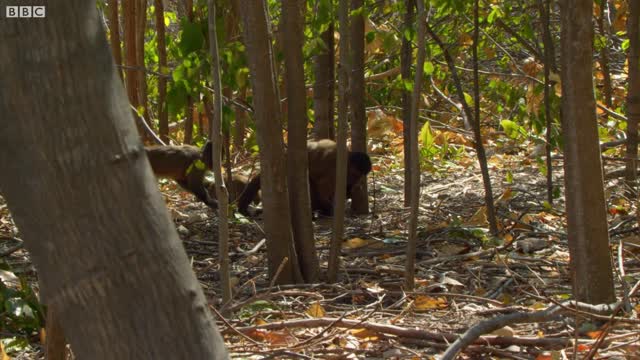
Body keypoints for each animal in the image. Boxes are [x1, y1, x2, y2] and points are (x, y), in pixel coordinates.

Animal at [238, 139, 372, 217]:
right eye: (355, 174)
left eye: (360, 175)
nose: (357, 179)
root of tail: (285, 156)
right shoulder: (333, 170)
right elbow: (322, 188)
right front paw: (329, 207)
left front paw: (348, 192)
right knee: (309, 183)